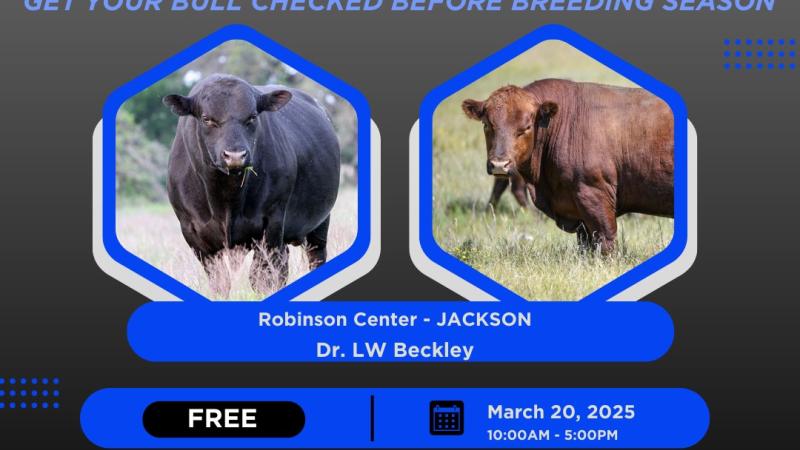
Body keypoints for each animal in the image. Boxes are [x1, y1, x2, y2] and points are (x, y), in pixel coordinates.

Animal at [161, 74, 340, 296]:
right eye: (207, 119)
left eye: (252, 117)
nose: (235, 155)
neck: (226, 199)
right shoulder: (193, 232)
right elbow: (220, 282)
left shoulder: (272, 224)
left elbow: (262, 278)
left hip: (319, 224)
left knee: (313, 257)